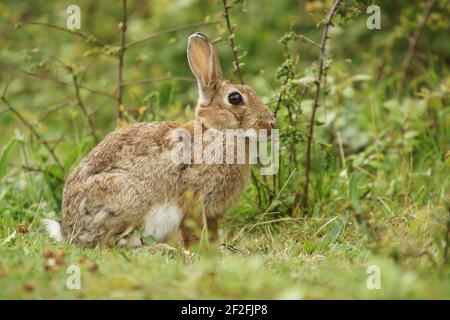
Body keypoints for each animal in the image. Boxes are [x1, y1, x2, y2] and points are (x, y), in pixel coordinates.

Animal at [43, 33, 274, 248]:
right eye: (235, 98)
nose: (270, 123)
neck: (217, 131)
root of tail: (71, 232)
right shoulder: (193, 202)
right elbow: (193, 231)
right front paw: (199, 252)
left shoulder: (213, 214)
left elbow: (212, 234)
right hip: (127, 202)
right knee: (110, 245)